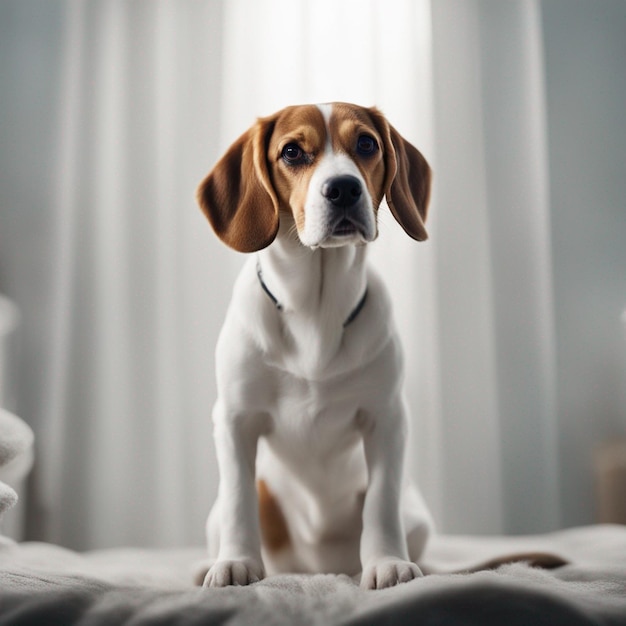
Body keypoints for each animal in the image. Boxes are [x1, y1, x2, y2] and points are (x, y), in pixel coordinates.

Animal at [195, 101, 434, 584]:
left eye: (367, 143)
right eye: (291, 151)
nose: (343, 188)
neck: (315, 315)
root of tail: (316, 569)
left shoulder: (386, 417)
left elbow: (381, 501)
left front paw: (388, 563)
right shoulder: (234, 419)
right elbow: (238, 500)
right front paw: (236, 562)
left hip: (418, 516)